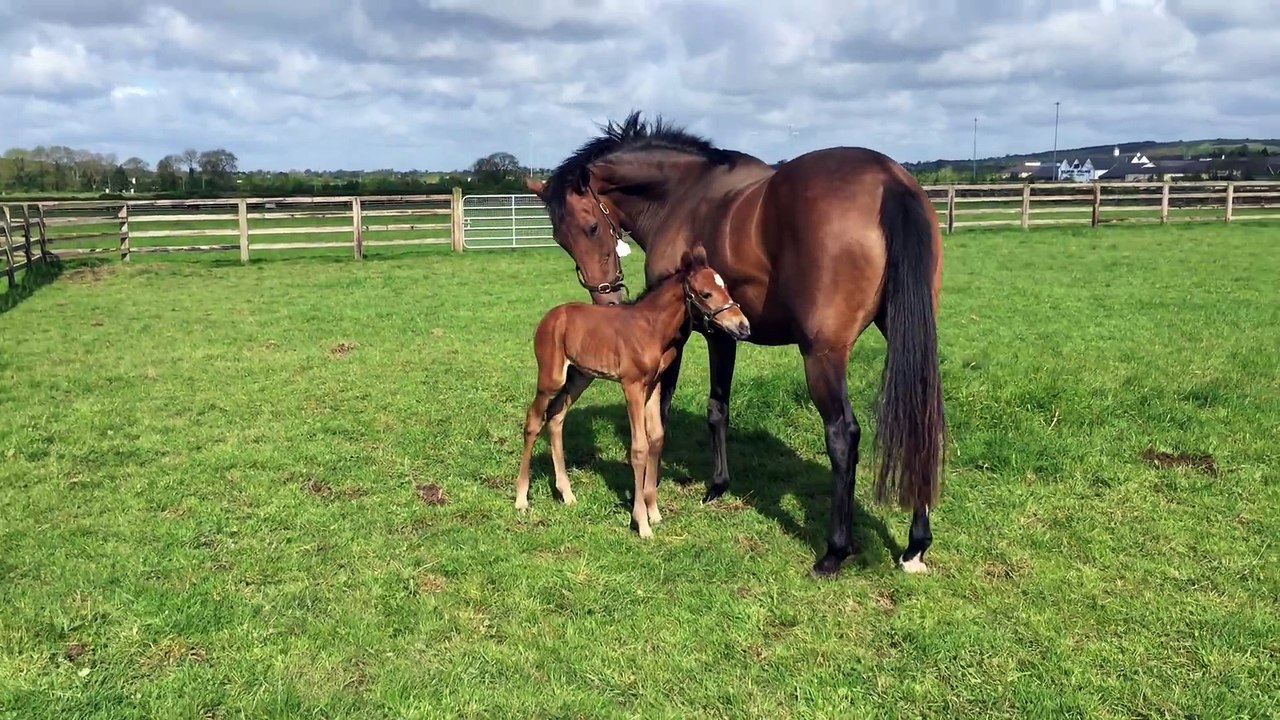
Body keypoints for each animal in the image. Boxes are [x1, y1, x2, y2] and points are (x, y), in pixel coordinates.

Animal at [514, 244, 751, 539]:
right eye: (706, 293)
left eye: (726, 287)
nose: (743, 326)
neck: (650, 328)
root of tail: (550, 317)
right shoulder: (633, 386)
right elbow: (639, 448)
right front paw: (642, 523)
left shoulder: (653, 385)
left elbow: (657, 439)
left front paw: (654, 512)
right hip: (551, 378)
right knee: (534, 419)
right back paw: (521, 498)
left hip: (580, 377)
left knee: (557, 416)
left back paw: (567, 494)